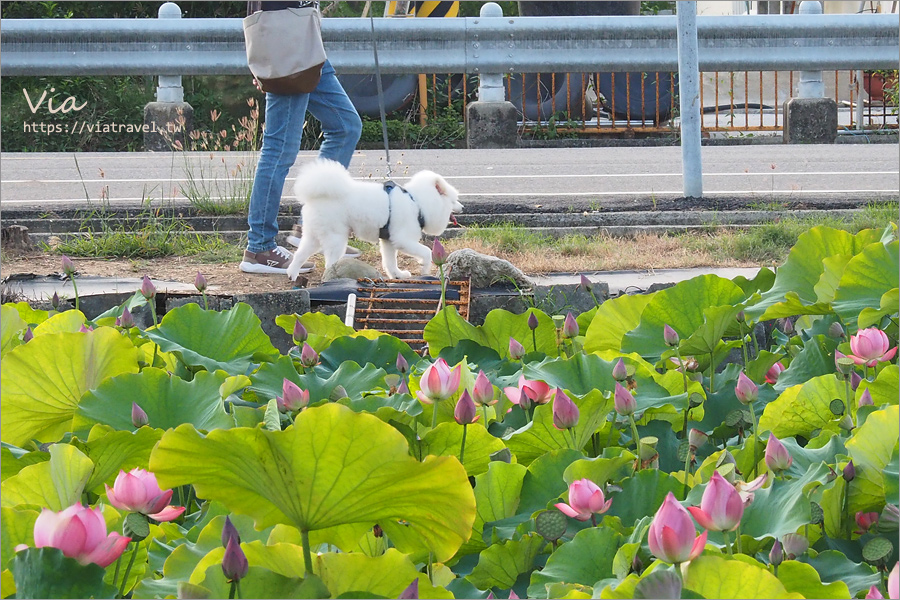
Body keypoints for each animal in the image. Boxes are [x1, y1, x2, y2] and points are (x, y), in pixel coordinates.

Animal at [286, 159, 464, 282]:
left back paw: (292, 274)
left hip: (314, 236)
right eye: (454, 200)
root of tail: (316, 196)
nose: (462, 207)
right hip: (336, 238)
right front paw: (425, 270)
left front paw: (398, 275)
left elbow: (391, 263)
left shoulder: (389, 241)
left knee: (300, 254)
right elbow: (426, 252)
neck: (417, 203)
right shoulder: (403, 239)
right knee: (330, 263)